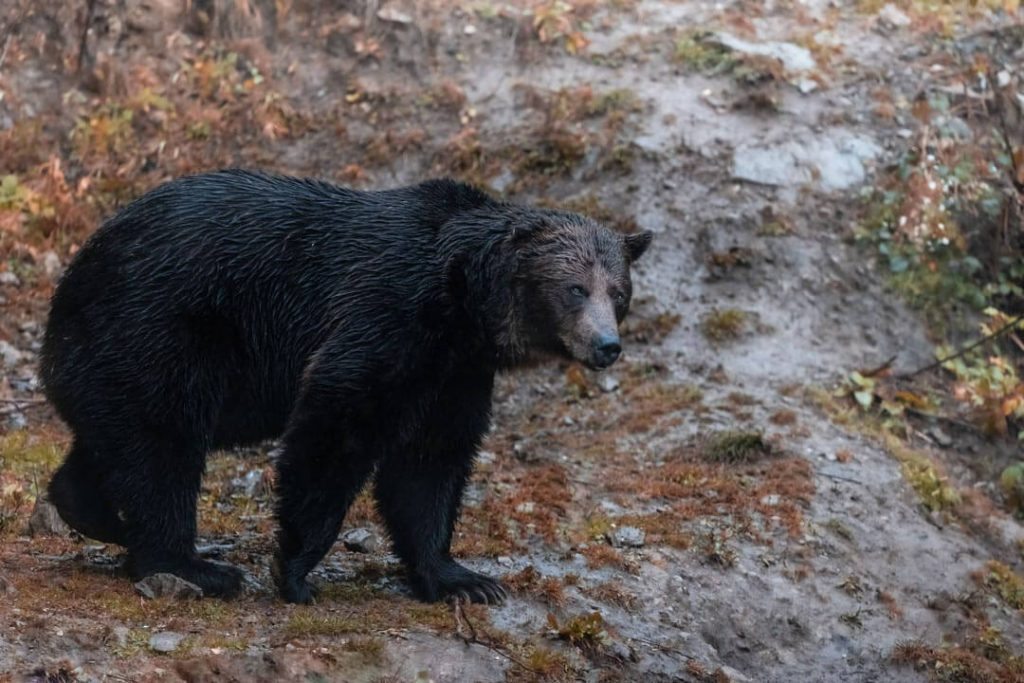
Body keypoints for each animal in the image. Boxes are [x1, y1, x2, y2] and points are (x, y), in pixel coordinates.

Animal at [41, 170, 652, 604]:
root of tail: (74, 275)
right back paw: (193, 565)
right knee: (163, 442)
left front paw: (463, 578)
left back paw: (95, 515)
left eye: (619, 293)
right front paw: (295, 570)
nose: (606, 345)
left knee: (117, 436)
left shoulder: (455, 370)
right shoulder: (390, 313)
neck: (464, 305)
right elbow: (337, 425)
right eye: (575, 288)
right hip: (162, 327)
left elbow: (429, 463)